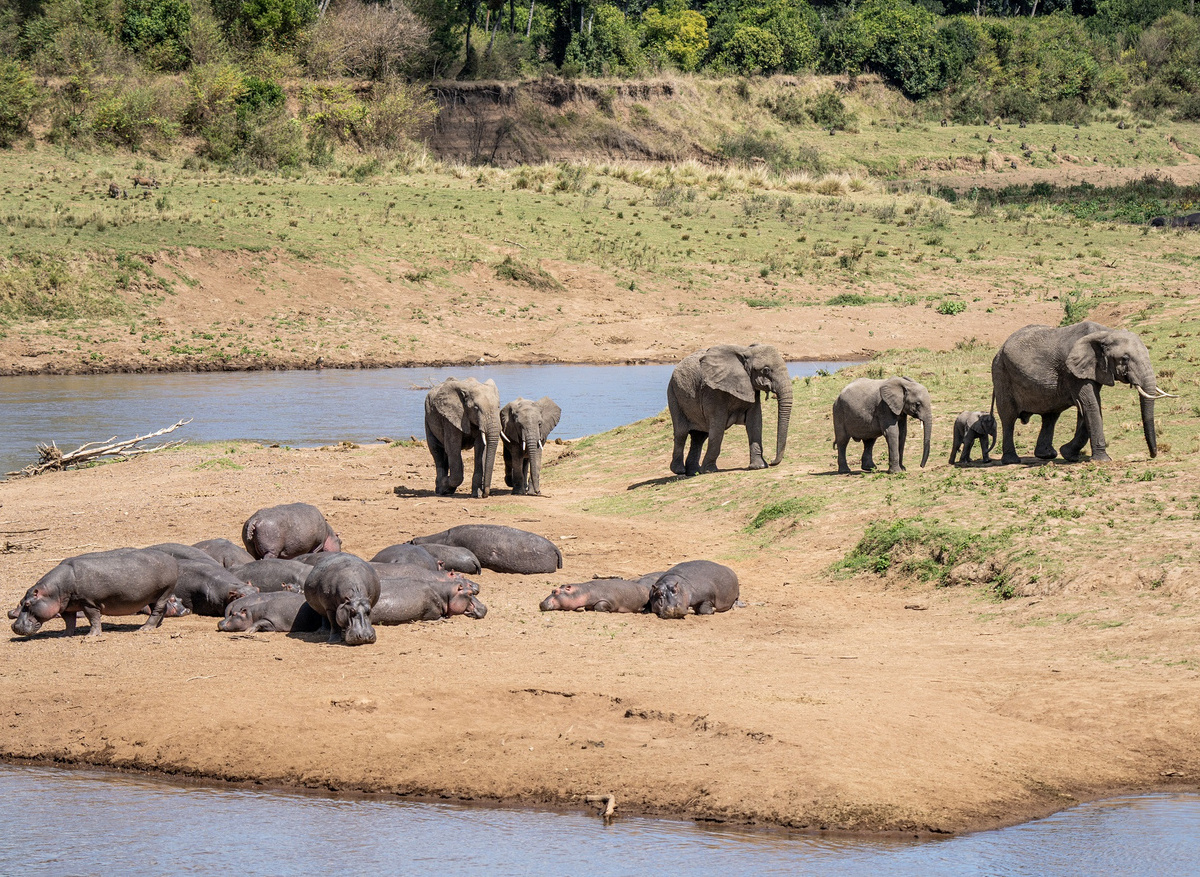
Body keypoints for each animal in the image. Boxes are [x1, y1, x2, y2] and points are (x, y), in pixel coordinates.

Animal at [11, 548, 179, 637]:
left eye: (28, 603)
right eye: (21, 602)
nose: (14, 626)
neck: (53, 591)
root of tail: (170, 558)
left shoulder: (89, 603)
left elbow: (93, 619)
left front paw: (91, 636)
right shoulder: (67, 607)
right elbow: (69, 622)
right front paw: (64, 635)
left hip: (164, 592)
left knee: (158, 610)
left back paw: (145, 628)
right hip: (153, 596)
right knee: (160, 609)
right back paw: (156, 625)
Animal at [666, 343, 793, 476]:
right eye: (765, 370)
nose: (772, 461)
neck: (746, 351)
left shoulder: (751, 388)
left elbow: (755, 422)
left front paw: (758, 466)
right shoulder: (713, 391)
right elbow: (718, 427)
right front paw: (710, 470)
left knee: (699, 437)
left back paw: (694, 472)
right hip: (673, 394)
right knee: (681, 433)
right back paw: (679, 471)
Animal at [991, 321, 1173, 465]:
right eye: (1125, 359)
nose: (1152, 455)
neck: (1106, 332)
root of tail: (1000, 349)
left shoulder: (1093, 369)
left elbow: (1088, 406)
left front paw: (1068, 454)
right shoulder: (1072, 371)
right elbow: (1090, 404)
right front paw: (1103, 460)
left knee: (1051, 416)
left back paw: (1047, 455)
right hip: (1001, 373)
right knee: (1008, 417)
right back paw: (1011, 461)